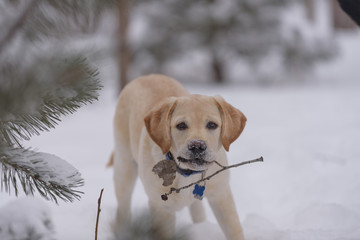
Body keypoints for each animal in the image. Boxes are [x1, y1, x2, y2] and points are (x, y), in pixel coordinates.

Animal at [108, 74, 246, 239]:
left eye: (212, 125)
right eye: (181, 125)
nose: (197, 146)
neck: (187, 174)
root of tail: (146, 76)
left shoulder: (221, 196)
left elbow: (235, 231)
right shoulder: (161, 209)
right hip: (124, 168)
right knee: (123, 209)